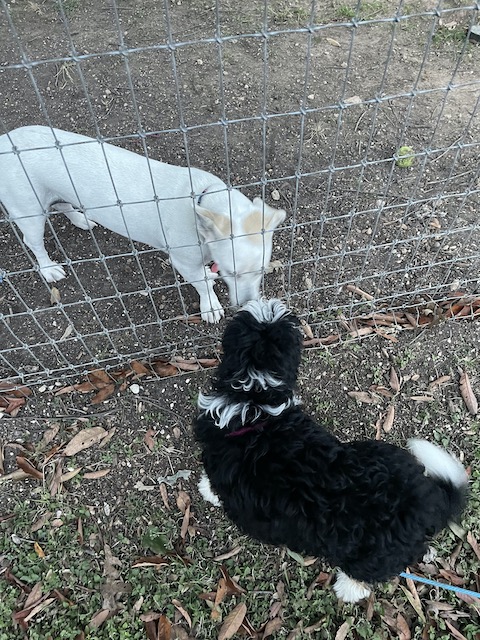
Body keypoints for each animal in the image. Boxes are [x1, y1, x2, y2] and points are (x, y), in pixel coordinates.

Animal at [0, 125, 284, 322]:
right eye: (230, 272)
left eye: (262, 270)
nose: (247, 305)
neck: (202, 201)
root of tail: (5, 140)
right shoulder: (183, 262)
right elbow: (202, 285)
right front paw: (210, 306)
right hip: (29, 212)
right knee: (33, 242)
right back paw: (49, 268)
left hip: (55, 194)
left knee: (62, 204)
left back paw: (81, 219)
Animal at [193, 298, 466, 600]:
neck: (256, 398)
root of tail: (429, 498)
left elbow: (213, 485)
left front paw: (206, 491)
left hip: (369, 556)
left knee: (365, 576)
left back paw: (347, 588)